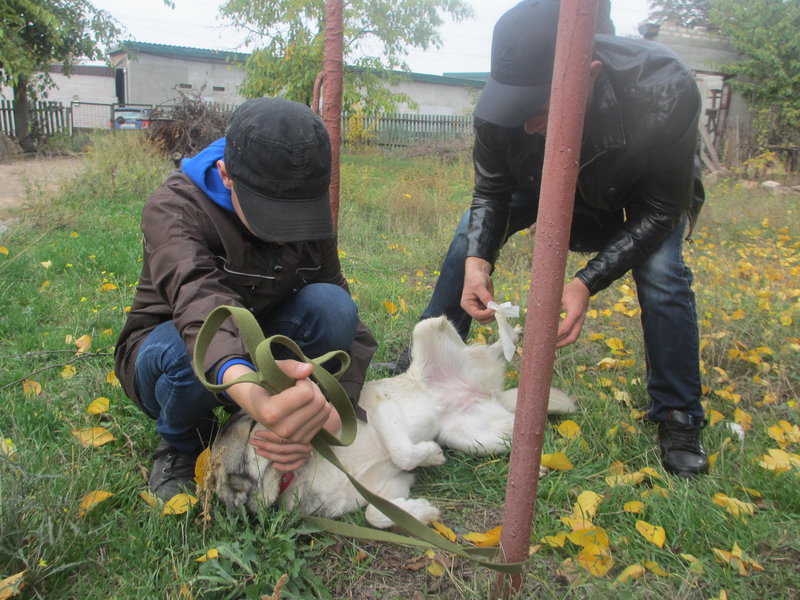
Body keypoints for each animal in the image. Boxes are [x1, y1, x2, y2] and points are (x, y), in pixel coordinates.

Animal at [212, 316, 576, 528]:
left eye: (251, 423)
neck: (298, 475)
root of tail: (486, 391)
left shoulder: (375, 405)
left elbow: (403, 451)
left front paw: (430, 456)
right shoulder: (389, 487)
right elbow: (376, 515)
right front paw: (423, 513)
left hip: (428, 328)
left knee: (495, 345)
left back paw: (513, 330)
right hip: (475, 440)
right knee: (515, 436)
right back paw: (533, 469)